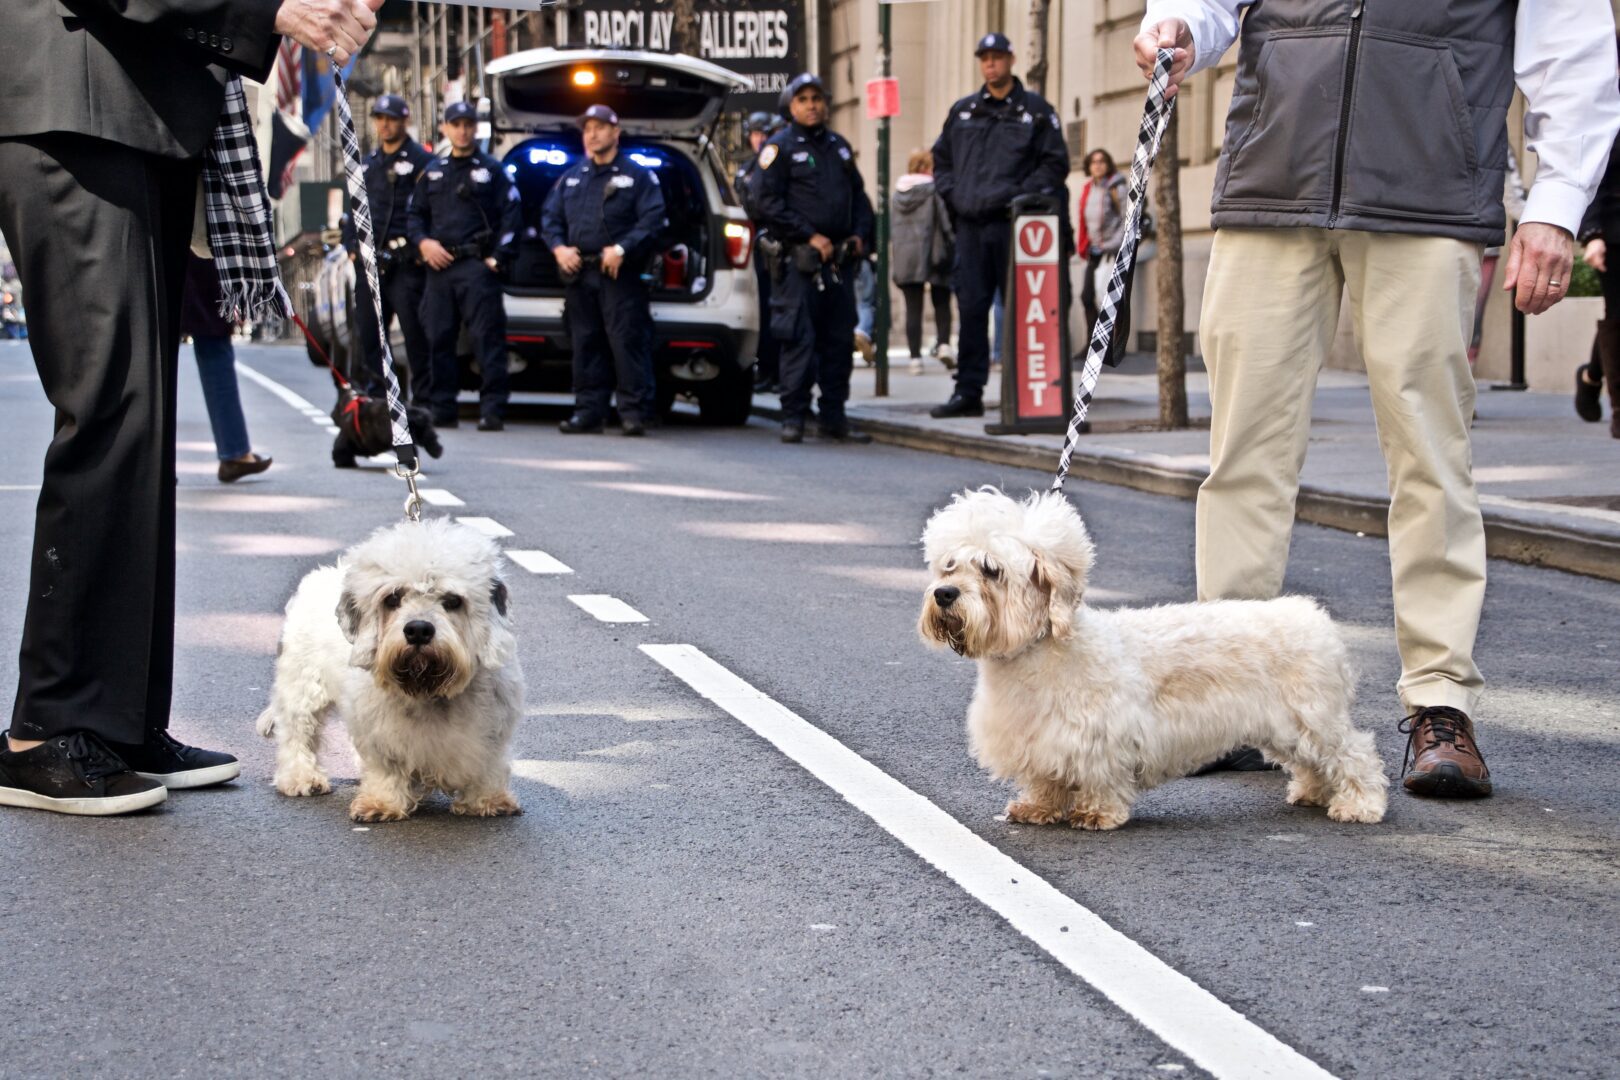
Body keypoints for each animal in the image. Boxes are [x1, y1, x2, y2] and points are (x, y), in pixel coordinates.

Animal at [255, 518, 524, 822]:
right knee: (297, 734)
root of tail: (318, 577)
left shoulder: (493, 731)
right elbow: (385, 769)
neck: (428, 692)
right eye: (393, 598)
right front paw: (382, 803)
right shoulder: (380, 736)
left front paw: (487, 799)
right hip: (301, 690)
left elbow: (488, 766)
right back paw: (301, 778)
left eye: (453, 600)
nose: (418, 630)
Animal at [920, 485, 1386, 835]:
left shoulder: (1102, 739)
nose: (944, 594)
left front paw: (1096, 814)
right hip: (1285, 729)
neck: (1040, 650)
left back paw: (1360, 804)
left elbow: (1101, 781)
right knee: (1314, 765)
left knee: (1354, 753)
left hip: (1313, 719)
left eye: (991, 569)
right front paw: (1036, 808)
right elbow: (1045, 780)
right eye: (949, 565)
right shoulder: (1037, 741)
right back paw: (1312, 793)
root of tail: (1314, 617)